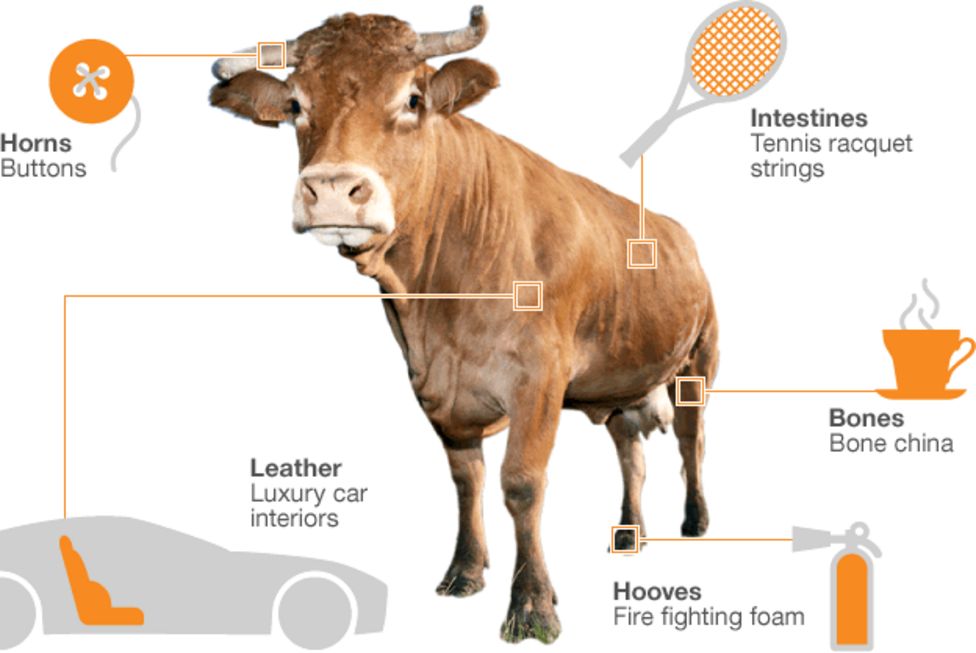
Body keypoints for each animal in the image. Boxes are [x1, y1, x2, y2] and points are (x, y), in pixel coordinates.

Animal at [209, 6, 718, 643]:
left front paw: (532, 604)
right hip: (620, 380)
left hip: (698, 362)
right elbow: (466, 480)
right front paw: (465, 570)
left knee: (692, 441)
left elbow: (521, 483)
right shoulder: (434, 387)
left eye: (413, 98)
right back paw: (630, 531)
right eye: (297, 104)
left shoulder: (539, 379)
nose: (331, 191)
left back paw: (695, 521)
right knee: (631, 451)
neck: (436, 303)